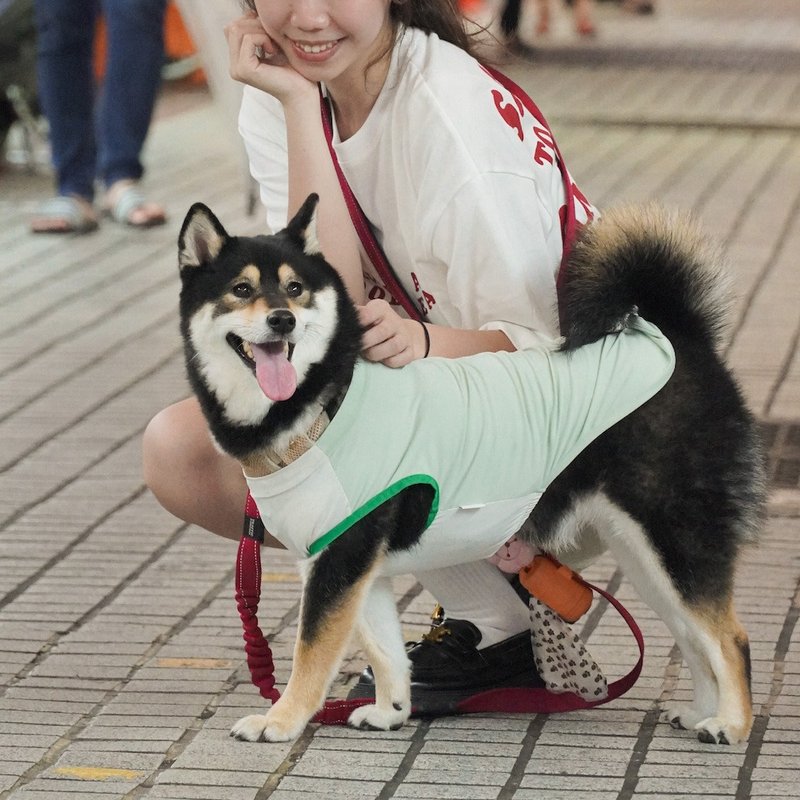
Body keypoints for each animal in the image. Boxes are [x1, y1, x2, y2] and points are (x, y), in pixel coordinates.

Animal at [178, 195, 764, 752]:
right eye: (240, 288)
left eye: (295, 288)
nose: (282, 319)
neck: (323, 403)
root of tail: (680, 340)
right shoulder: (351, 561)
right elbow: (386, 650)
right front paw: (391, 711)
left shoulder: (339, 560)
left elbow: (311, 654)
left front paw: (280, 721)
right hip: (644, 554)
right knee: (693, 638)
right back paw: (700, 711)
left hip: (676, 538)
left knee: (730, 638)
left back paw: (731, 725)